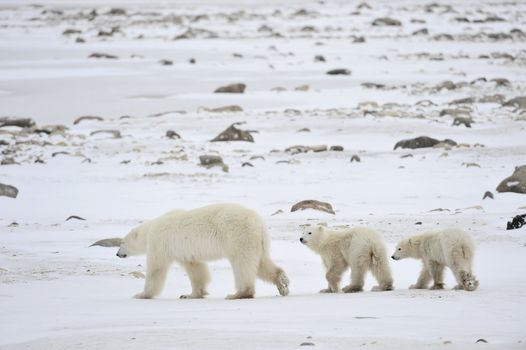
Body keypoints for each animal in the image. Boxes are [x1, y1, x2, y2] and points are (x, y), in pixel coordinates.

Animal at [115, 204, 290, 300]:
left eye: (121, 242)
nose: (117, 254)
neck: (150, 229)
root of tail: (258, 222)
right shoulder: (185, 252)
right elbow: (196, 269)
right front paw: (190, 294)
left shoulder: (159, 243)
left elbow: (156, 269)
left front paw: (141, 294)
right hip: (257, 241)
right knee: (261, 263)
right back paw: (282, 282)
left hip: (238, 235)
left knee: (242, 263)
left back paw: (238, 293)